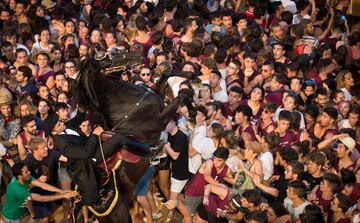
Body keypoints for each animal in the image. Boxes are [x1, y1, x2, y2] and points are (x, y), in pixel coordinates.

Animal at [74, 50, 195, 223]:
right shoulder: (159, 121)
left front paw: (189, 75)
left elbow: (166, 75)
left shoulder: (158, 95)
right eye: (106, 56)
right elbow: (181, 97)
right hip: (121, 215)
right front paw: (192, 111)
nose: (137, 53)